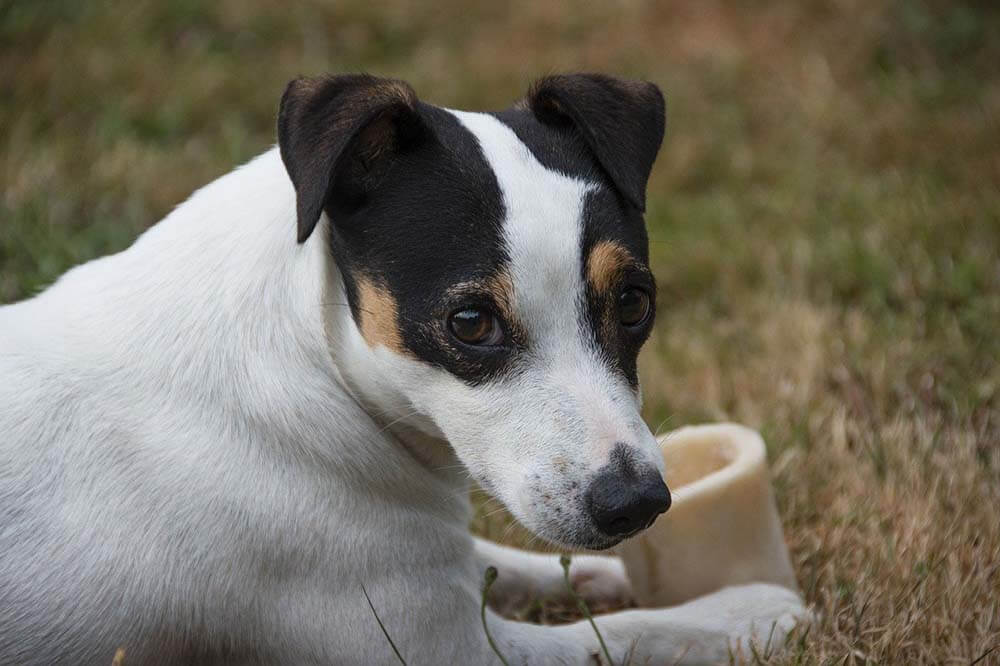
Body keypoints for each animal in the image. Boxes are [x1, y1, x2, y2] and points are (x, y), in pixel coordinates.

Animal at [0, 74, 804, 664]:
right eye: (470, 323)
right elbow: (632, 637)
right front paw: (753, 613)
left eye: (635, 303)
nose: (637, 504)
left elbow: (505, 560)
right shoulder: (441, 647)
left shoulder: (435, 567)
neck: (319, 362)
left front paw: (609, 576)